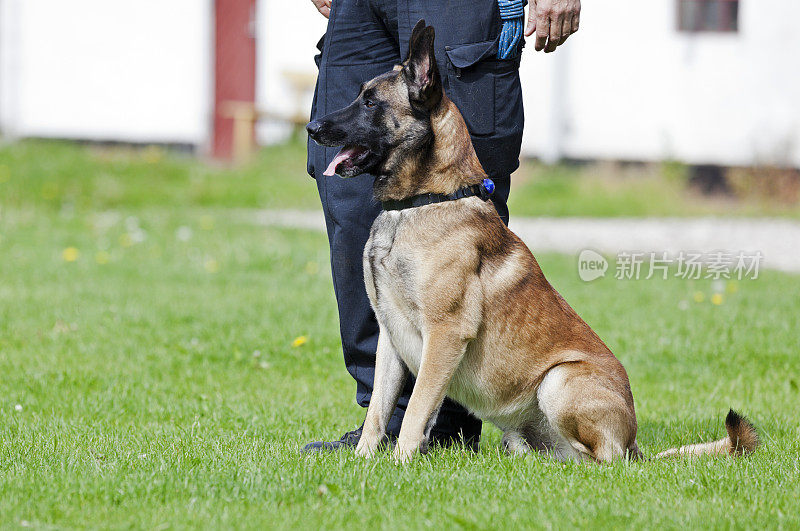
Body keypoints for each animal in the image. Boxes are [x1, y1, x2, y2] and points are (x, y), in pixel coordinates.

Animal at [304, 19, 756, 462]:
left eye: (370, 103)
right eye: (359, 96)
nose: (311, 127)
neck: (424, 200)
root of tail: (636, 446)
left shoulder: (445, 334)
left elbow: (416, 409)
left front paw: (400, 464)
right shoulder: (390, 338)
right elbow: (379, 411)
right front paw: (364, 463)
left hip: (559, 380)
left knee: (604, 461)